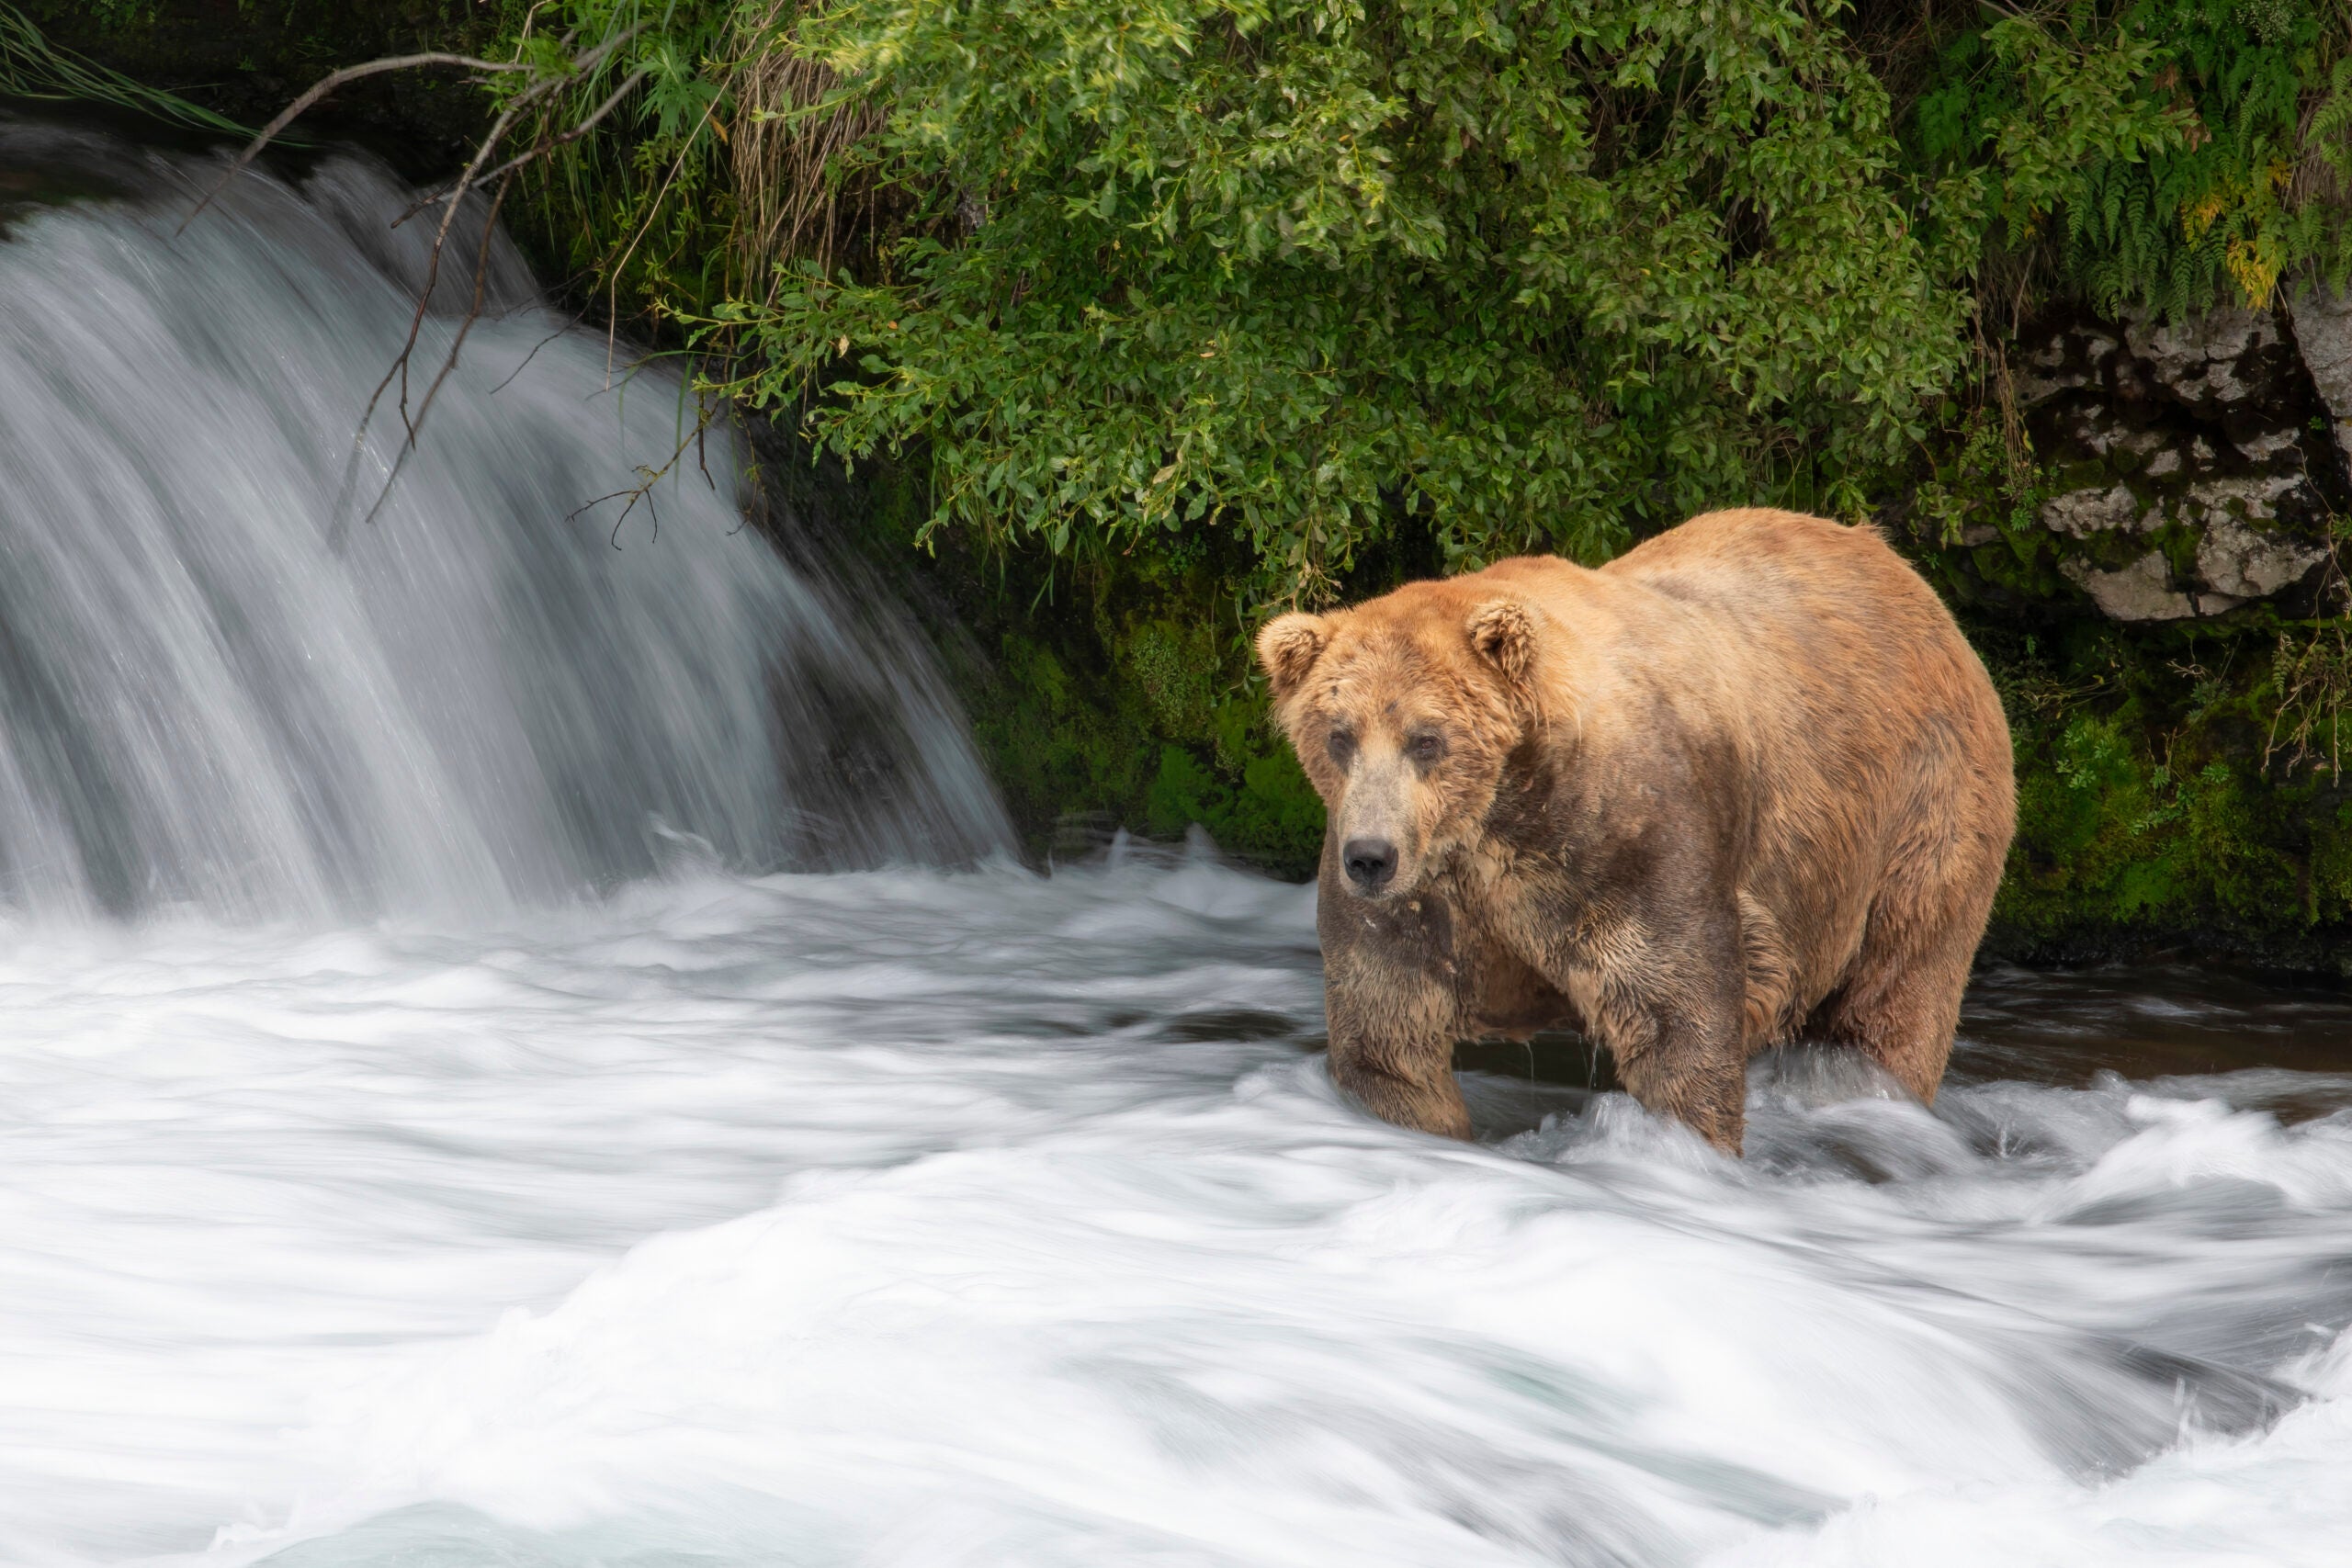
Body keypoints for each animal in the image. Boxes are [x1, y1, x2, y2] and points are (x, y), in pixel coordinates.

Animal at [1261, 512, 2013, 1152]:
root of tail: (1910, 580)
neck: (1505, 818)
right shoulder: (1427, 896)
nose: (1371, 857)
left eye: (1427, 738)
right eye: (1338, 735)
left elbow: (1679, 1021)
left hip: (1919, 812)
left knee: (1894, 997)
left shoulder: (1636, 844)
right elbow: (1387, 1040)